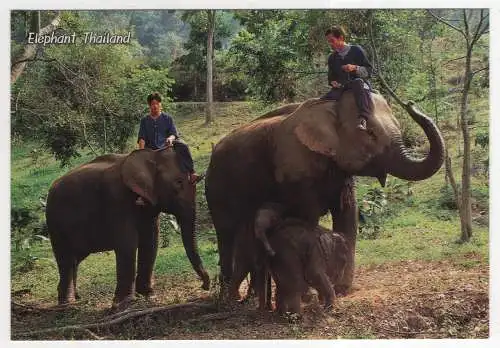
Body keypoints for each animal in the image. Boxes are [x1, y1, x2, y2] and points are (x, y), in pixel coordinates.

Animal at [46, 148, 210, 308]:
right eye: (178, 182)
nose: (205, 286)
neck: (152, 154)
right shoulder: (117, 199)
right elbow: (127, 243)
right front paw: (125, 302)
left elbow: (150, 241)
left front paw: (148, 295)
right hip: (55, 222)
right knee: (65, 259)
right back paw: (68, 303)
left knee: (76, 259)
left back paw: (76, 298)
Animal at [205, 91, 444, 300]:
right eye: (370, 133)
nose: (411, 104)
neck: (329, 107)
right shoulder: (296, 171)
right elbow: (308, 217)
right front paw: (313, 292)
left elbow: (348, 214)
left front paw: (343, 289)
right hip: (216, 188)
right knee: (225, 235)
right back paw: (227, 298)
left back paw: (251, 296)